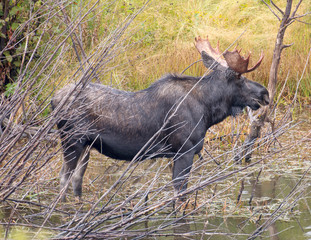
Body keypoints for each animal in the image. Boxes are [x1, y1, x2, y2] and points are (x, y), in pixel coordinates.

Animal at [52, 35, 270, 201]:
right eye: (241, 78)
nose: (265, 93)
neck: (208, 111)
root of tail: (53, 100)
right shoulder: (184, 150)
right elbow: (180, 194)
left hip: (87, 145)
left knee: (76, 180)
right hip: (72, 141)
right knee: (63, 178)